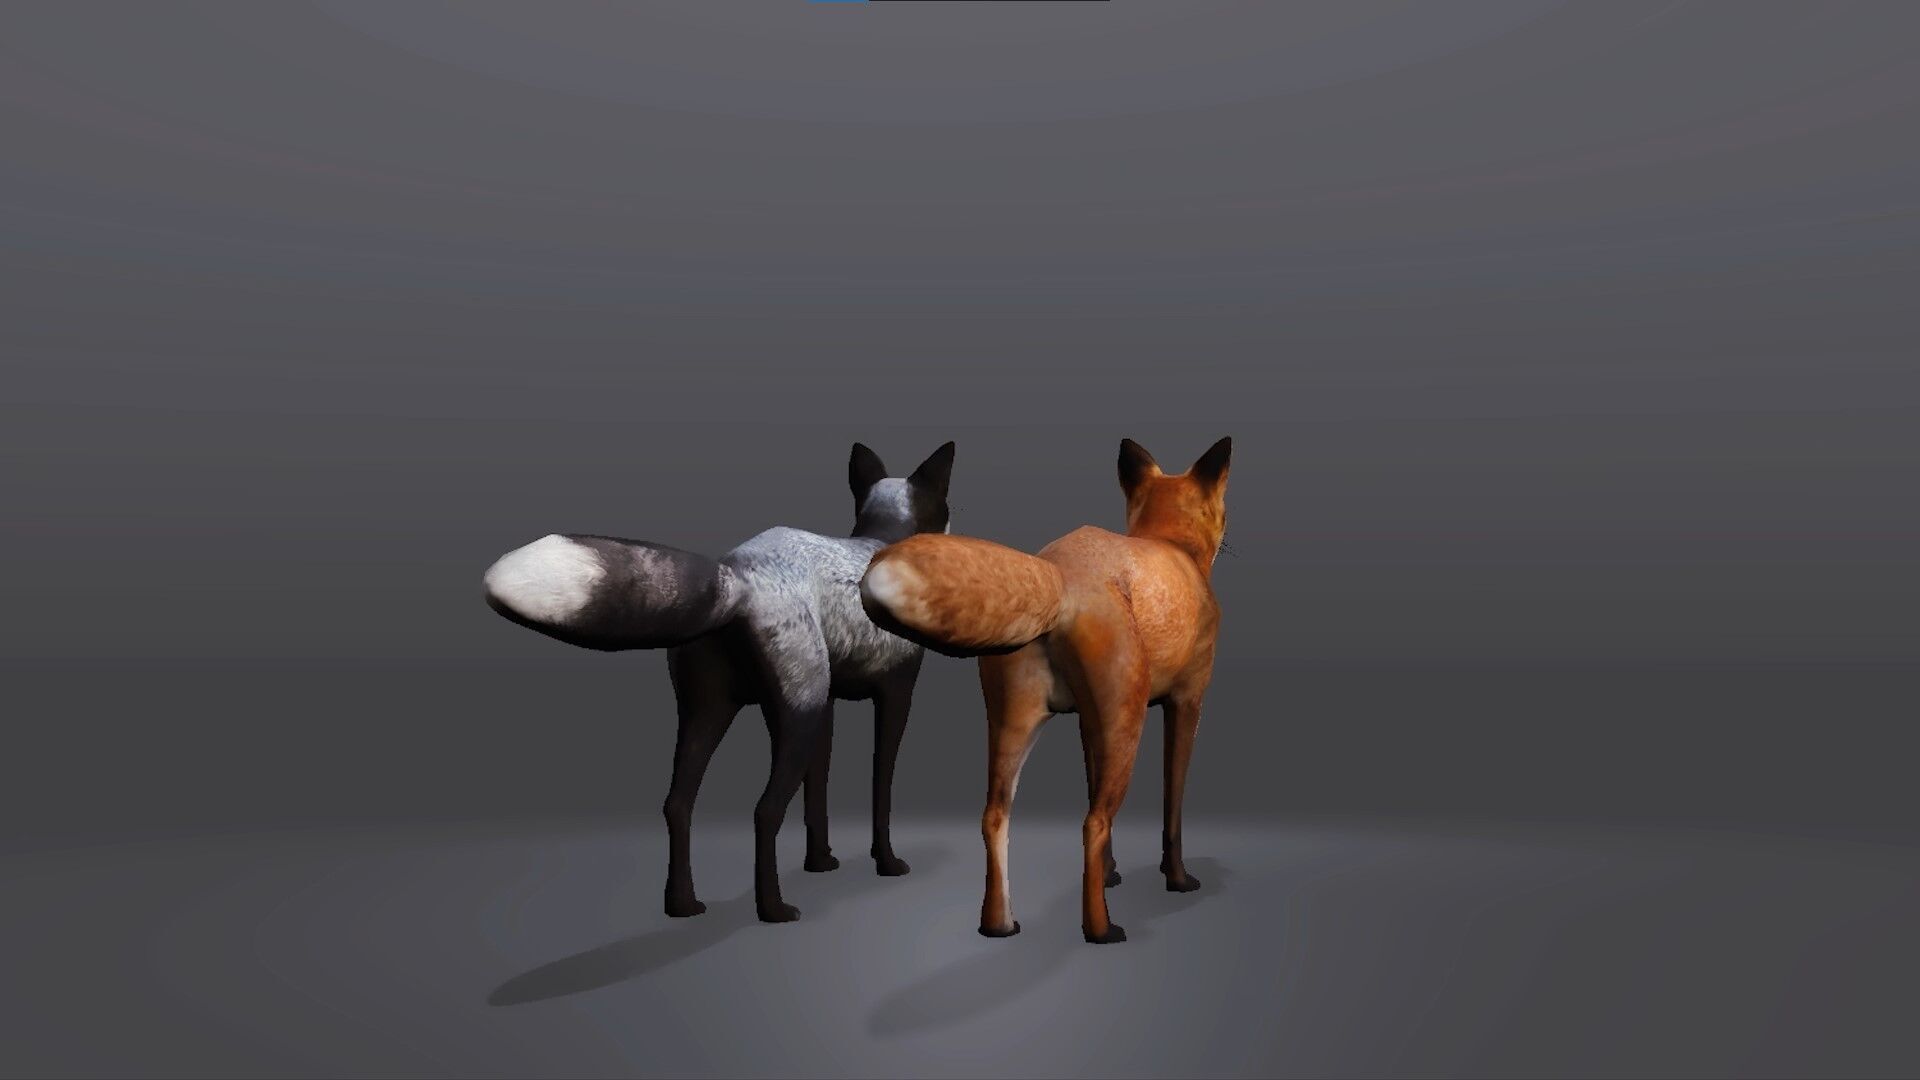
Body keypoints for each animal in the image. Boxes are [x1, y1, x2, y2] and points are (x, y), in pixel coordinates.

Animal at [482, 441, 955, 924]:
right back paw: (773, 909)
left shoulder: (828, 703)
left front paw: (821, 861)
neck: (880, 540)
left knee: (677, 804)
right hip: (793, 716)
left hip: (712, 711)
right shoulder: (891, 695)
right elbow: (881, 788)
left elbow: (818, 791)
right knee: (764, 811)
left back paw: (683, 904)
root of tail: (737, 575)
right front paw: (887, 863)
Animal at [858, 437, 1230, 944]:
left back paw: (998, 924)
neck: (1173, 547)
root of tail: (1058, 571)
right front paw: (1176, 879)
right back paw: (1100, 929)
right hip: (1126, 724)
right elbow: (1172, 810)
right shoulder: (1187, 702)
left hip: (1017, 724)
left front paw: (1111, 873)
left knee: (994, 816)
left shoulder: (1088, 724)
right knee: (1093, 823)